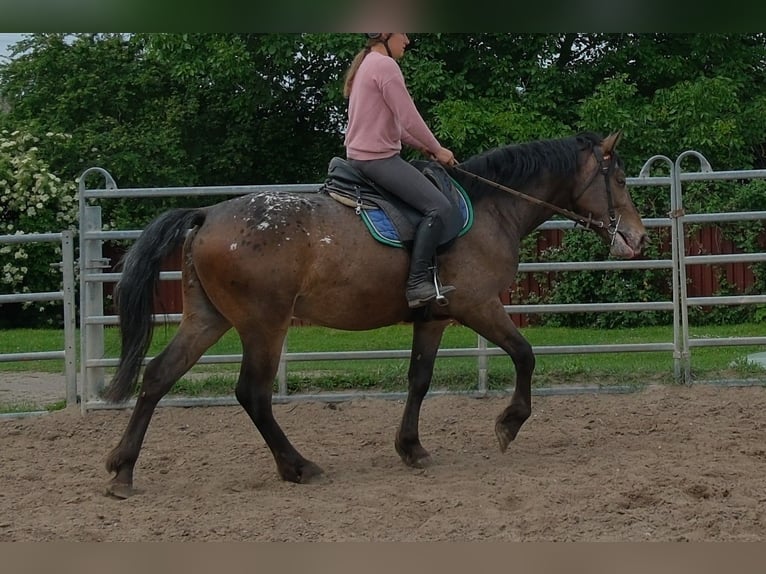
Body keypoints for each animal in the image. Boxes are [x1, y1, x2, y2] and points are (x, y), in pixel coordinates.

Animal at [103, 131, 647, 498]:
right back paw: (298, 466)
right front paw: (509, 424)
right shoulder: (477, 306)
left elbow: (419, 380)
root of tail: (207, 215)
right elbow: (525, 354)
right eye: (619, 179)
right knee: (252, 394)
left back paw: (123, 470)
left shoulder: (433, 318)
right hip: (263, 325)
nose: (639, 238)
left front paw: (411, 448)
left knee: (158, 376)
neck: (492, 208)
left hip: (208, 320)